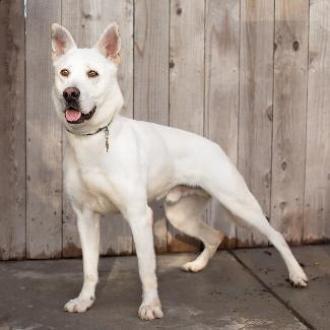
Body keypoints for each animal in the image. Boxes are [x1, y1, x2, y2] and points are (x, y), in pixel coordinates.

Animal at [50, 22, 308, 320]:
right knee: (215, 236)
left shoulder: (139, 216)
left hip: (240, 204)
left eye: (92, 73)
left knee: (276, 235)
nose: (70, 93)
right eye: (64, 73)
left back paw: (297, 274)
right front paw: (85, 300)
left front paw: (151, 306)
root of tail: (215, 146)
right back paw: (197, 265)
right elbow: (89, 269)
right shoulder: (86, 218)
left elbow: (146, 269)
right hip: (180, 215)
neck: (92, 141)